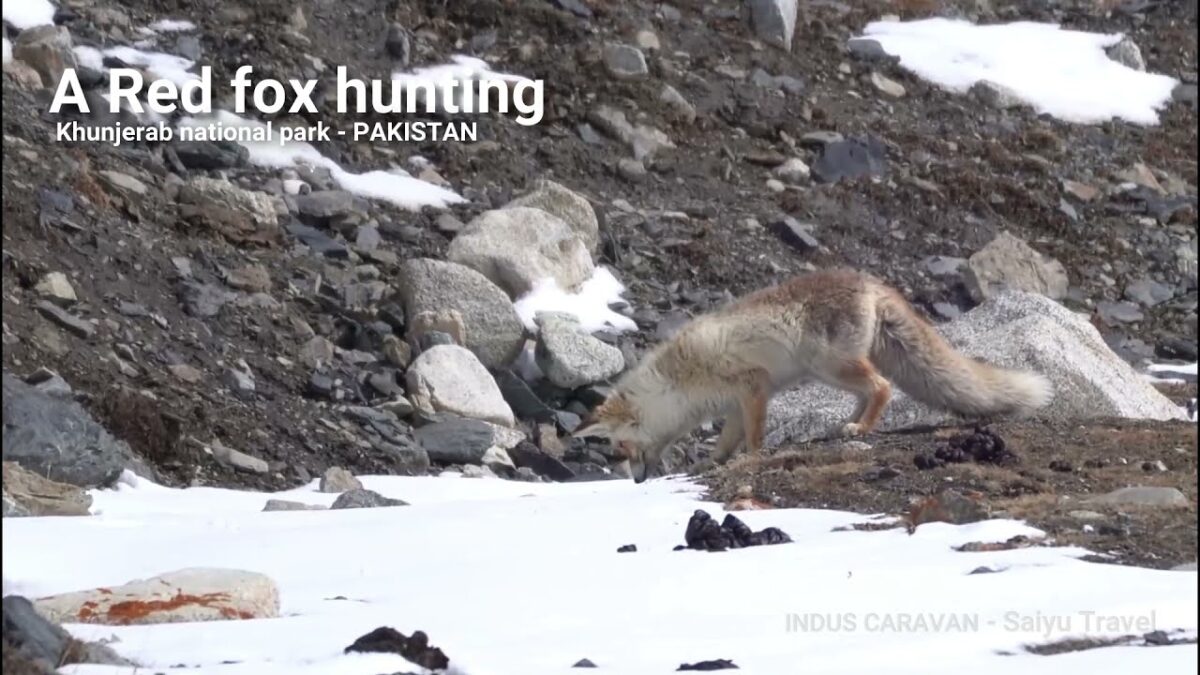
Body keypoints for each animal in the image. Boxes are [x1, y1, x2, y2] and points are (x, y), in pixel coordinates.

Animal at [576, 265, 1056, 480]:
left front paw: (751, 458)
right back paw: (847, 426)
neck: (678, 381)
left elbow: (753, 438)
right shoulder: (735, 401)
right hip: (833, 370)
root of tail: (869, 280)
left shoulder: (753, 386)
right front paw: (714, 462)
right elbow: (726, 441)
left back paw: (860, 429)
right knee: (867, 393)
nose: (638, 480)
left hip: (830, 365)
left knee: (881, 387)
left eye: (622, 447)